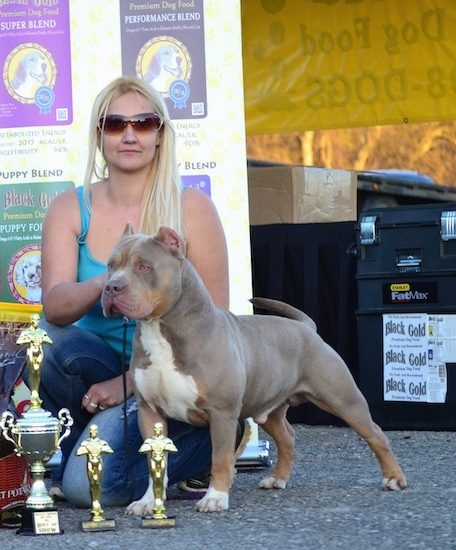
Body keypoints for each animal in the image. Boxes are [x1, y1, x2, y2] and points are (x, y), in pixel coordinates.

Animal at [100, 225, 406, 516]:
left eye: (144, 267)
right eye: (111, 265)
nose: (112, 288)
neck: (162, 330)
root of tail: (306, 328)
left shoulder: (221, 414)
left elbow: (221, 459)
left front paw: (215, 498)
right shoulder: (149, 412)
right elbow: (156, 463)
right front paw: (148, 502)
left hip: (343, 399)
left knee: (376, 434)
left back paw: (394, 478)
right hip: (268, 408)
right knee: (287, 437)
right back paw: (278, 479)